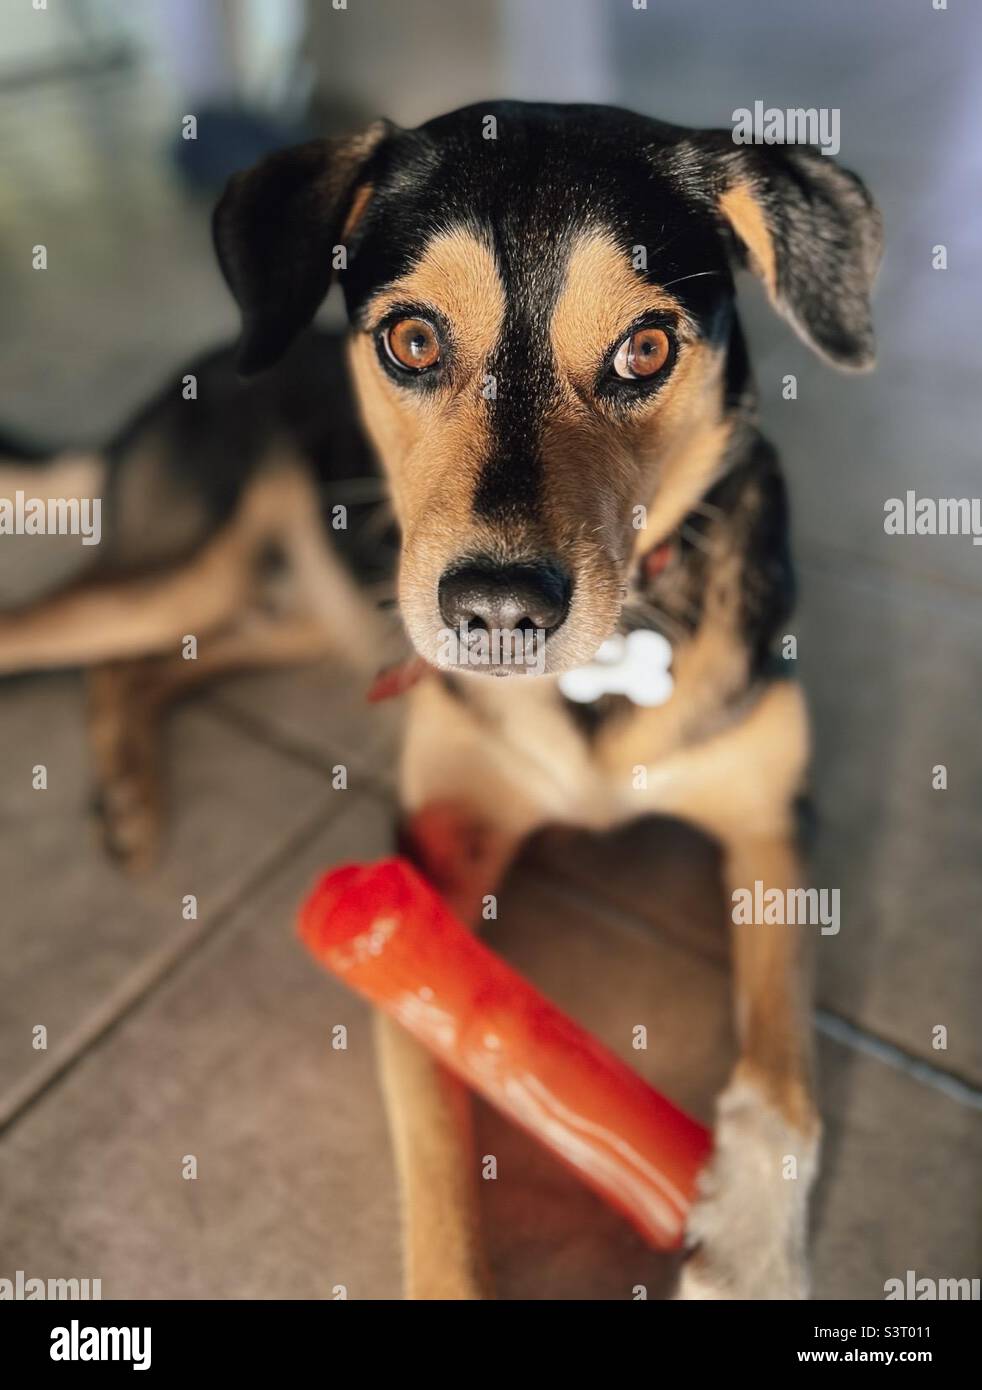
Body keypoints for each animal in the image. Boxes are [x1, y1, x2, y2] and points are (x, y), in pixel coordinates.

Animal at [0, 102, 873, 1295]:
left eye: (646, 348)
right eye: (411, 340)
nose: (497, 610)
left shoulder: (771, 822)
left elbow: (784, 1068)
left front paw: (745, 1240)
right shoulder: (427, 874)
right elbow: (441, 1173)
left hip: (301, 605)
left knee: (144, 664)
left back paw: (129, 799)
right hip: (197, 568)